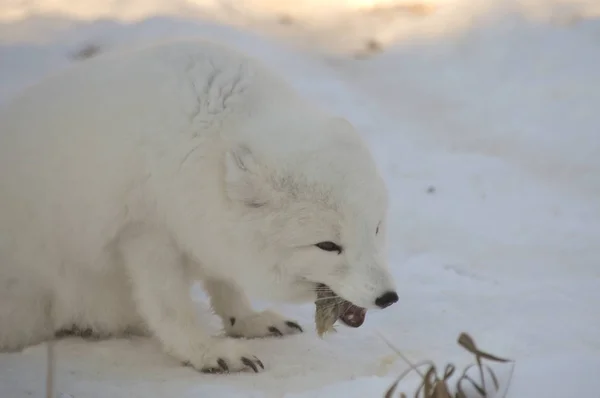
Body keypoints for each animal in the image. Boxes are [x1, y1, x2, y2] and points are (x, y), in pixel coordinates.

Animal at [0, 37, 398, 374]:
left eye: (376, 228)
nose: (389, 298)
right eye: (327, 245)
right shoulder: (146, 234)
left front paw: (246, 321)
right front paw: (206, 352)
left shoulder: (209, 228)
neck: (214, 134)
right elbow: (169, 309)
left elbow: (226, 284)